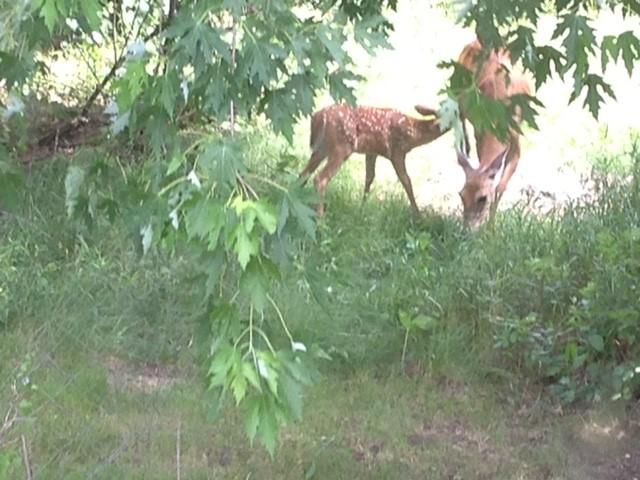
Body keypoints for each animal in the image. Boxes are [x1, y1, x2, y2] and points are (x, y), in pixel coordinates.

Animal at [299, 103, 447, 216]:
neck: (413, 133)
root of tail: (318, 118)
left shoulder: (371, 152)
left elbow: (369, 178)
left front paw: (361, 209)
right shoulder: (397, 152)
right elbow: (406, 180)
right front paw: (418, 216)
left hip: (321, 149)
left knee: (303, 174)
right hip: (341, 148)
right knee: (320, 179)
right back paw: (321, 221)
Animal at [455, 39, 533, 230]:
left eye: (482, 198)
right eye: (461, 195)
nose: (467, 229)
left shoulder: (516, 138)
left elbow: (499, 187)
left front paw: (491, 228)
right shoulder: (480, 130)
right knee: (460, 115)